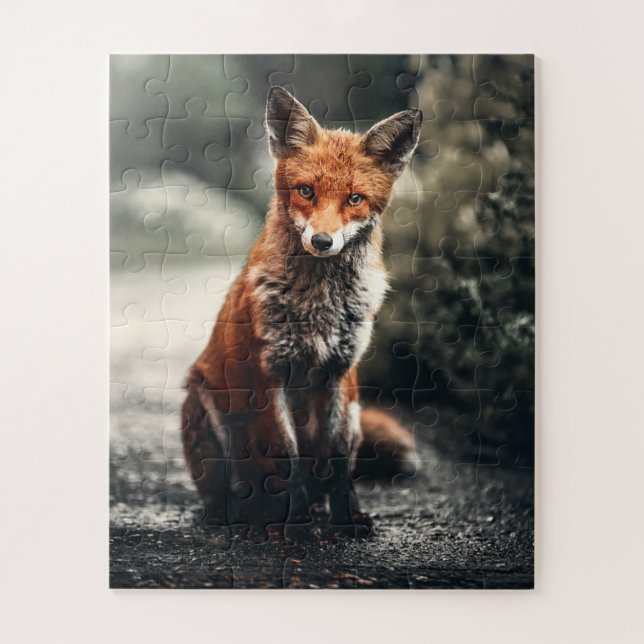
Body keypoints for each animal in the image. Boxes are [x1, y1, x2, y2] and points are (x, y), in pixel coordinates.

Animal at [181, 86, 421, 535]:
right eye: (307, 191)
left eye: (354, 199)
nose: (323, 241)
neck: (319, 305)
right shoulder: (270, 374)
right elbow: (286, 454)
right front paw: (294, 525)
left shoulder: (339, 373)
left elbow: (339, 461)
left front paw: (346, 519)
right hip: (204, 409)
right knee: (227, 490)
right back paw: (234, 513)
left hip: (356, 411)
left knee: (323, 474)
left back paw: (318, 507)